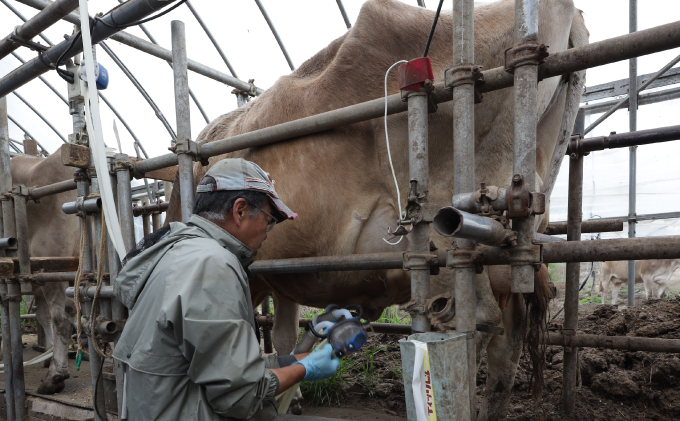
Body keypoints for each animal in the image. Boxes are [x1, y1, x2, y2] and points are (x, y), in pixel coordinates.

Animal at [166, 0, 588, 416]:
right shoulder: (284, 276)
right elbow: (285, 333)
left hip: (450, 237)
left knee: (472, 319)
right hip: (508, 247)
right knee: (506, 342)